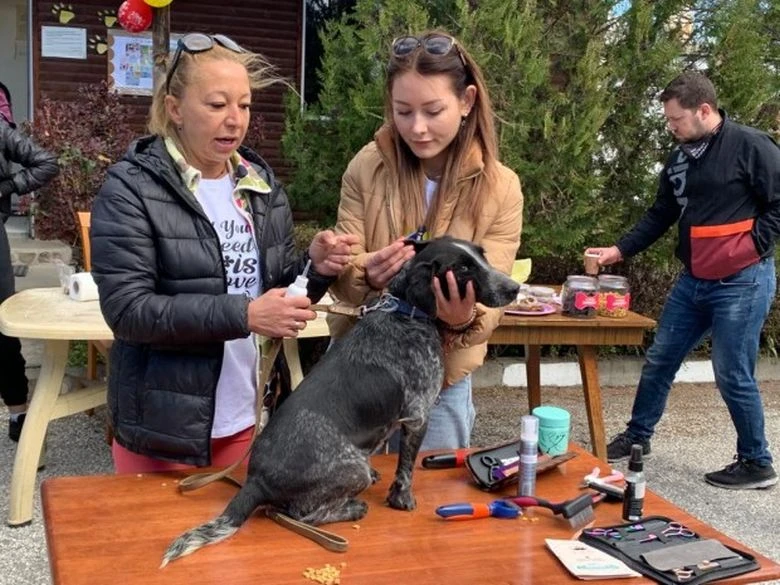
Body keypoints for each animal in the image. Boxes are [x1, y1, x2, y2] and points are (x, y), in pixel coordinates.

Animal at [161, 234, 520, 564]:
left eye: (482, 255)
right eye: (463, 268)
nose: (515, 288)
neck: (404, 311)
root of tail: (255, 481)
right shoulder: (418, 414)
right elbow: (405, 469)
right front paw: (401, 500)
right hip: (351, 470)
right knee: (302, 514)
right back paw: (353, 507)